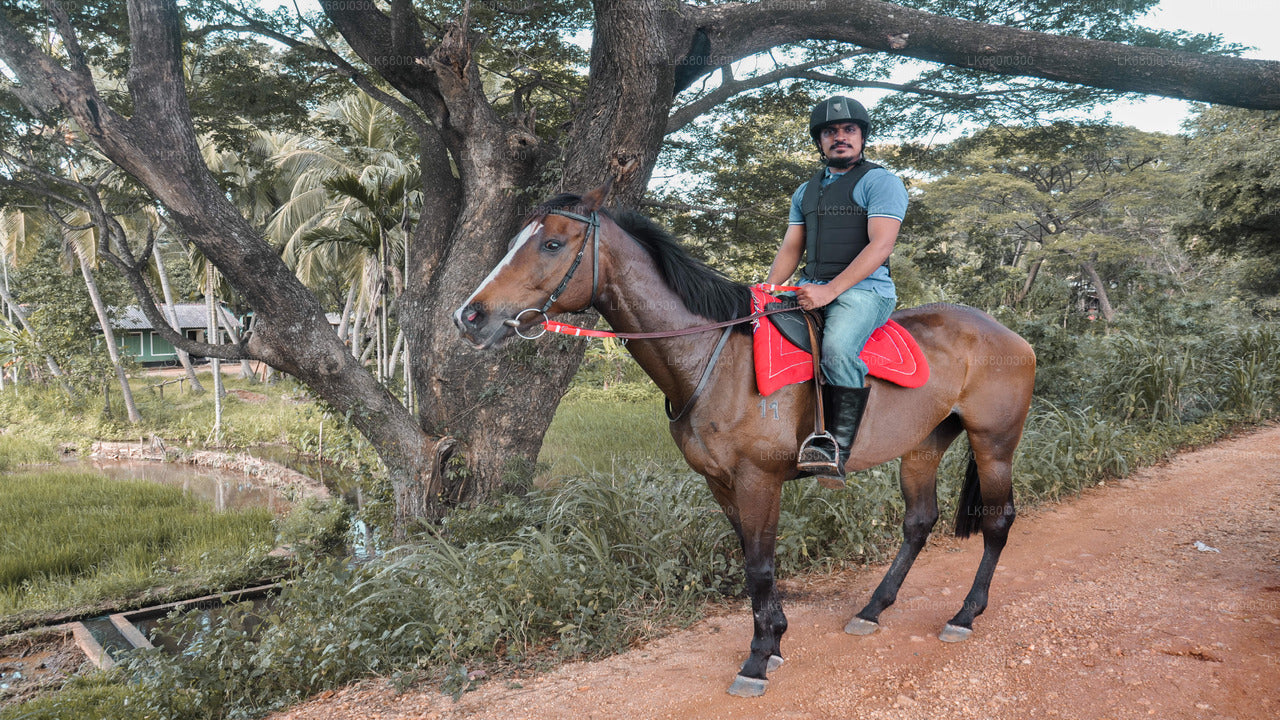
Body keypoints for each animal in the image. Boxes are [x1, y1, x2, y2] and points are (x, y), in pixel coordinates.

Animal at [454, 183, 1036, 697]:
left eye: (552, 243)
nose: (470, 316)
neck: (713, 356)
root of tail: (1008, 334)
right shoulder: (721, 483)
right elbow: (753, 564)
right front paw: (773, 641)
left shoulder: (758, 480)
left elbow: (759, 568)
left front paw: (757, 661)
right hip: (922, 446)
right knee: (918, 522)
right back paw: (873, 609)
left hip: (994, 444)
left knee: (998, 521)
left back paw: (965, 614)